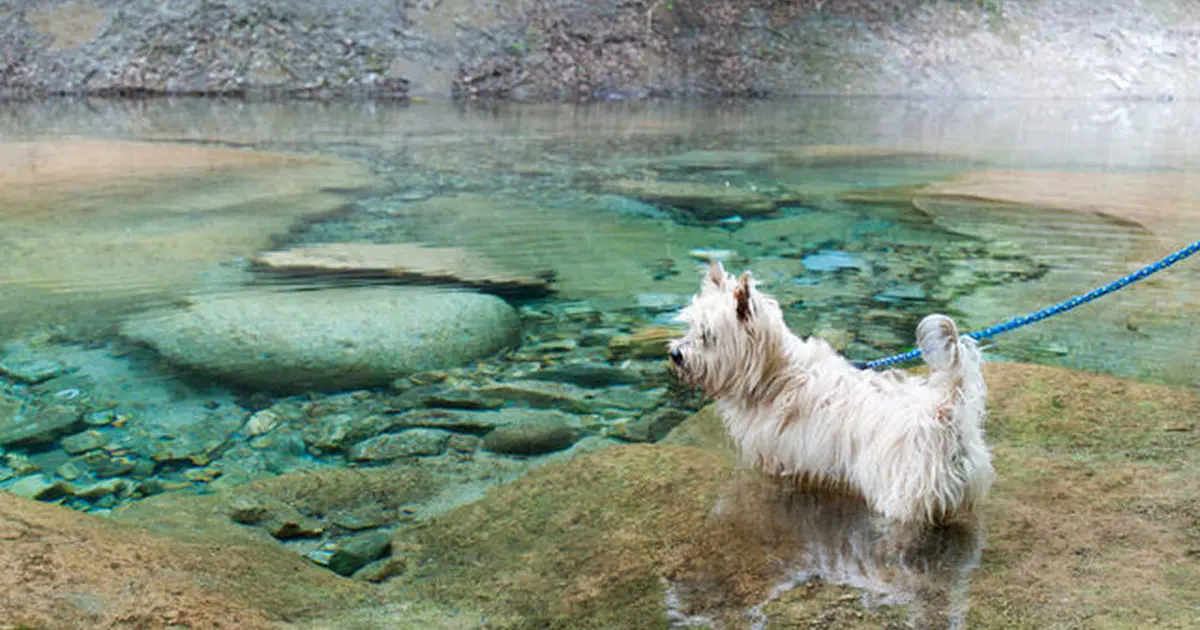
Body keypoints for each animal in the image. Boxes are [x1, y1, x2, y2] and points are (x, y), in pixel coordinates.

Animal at [667, 258, 993, 523]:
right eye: (691, 327)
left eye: (708, 336)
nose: (675, 354)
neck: (774, 376)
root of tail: (945, 408)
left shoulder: (773, 459)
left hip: (902, 492)